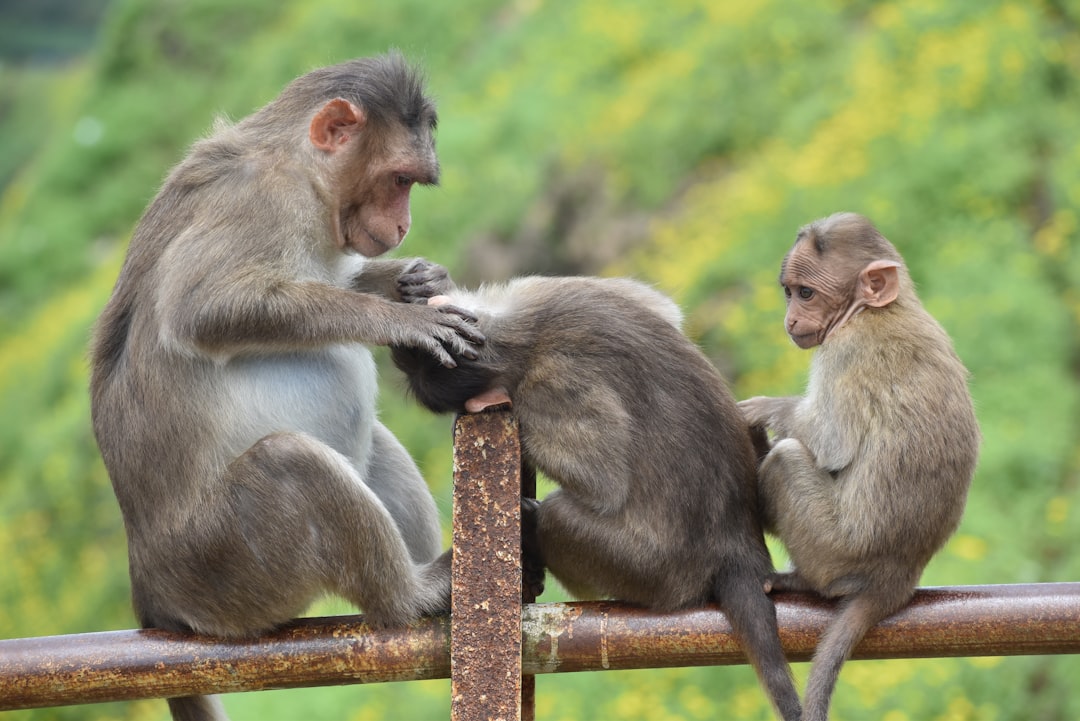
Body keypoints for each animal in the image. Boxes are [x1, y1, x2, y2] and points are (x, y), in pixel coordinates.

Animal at [88, 52, 486, 721]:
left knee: (371, 442)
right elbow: (202, 308)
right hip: (227, 564)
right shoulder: (263, 201)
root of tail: (150, 585)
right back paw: (412, 593)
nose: (403, 226)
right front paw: (398, 317)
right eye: (399, 179)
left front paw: (416, 280)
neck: (303, 171)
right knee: (291, 461)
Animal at [388, 276, 803, 721]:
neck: (521, 332)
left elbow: (603, 481)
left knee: (558, 517)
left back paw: (534, 529)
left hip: (652, 571)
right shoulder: (542, 289)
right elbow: (663, 309)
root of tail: (739, 545)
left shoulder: (550, 384)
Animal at [743, 212, 980, 721]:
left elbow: (831, 442)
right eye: (788, 291)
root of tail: (899, 577)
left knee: (788, 459)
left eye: (806, 293)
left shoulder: (844, 350)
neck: (875, 310)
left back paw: (800, 578)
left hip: (836, 550)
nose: (790, 319)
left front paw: (760, 411)